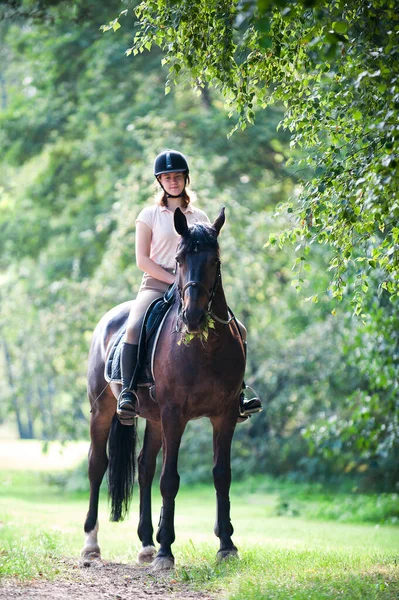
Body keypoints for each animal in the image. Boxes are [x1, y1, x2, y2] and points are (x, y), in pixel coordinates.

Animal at [80, 207, 245, 572]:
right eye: (180, 259)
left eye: (215, 260)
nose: (193, 316)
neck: (204, 346)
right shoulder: (174, 414)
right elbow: (170, 480)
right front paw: (167, 551)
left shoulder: (225, 414)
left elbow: (222, 475)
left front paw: (226, 545)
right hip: (103, 411)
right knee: (98, 466)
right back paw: (91, 546)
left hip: (154, 419)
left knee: (144, 469)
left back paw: (145, 544)